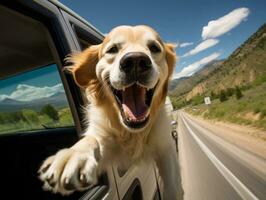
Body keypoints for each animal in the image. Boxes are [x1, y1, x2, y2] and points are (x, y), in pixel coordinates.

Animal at [39, 25, 183, 199]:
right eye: (112, 49)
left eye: (154, 48)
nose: (136, 61)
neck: (133, 133)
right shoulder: (105, 142)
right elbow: (91, 140)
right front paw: (74, 156)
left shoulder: (166, 150)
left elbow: (172, 186)